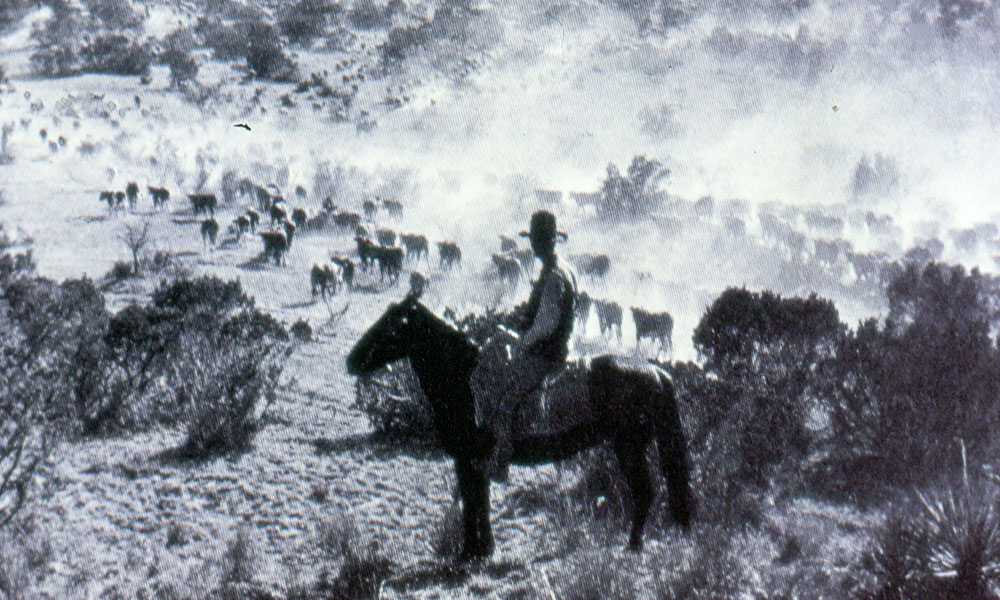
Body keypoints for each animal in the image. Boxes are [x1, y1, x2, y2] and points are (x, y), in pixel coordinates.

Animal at [348, 288, 692, 560]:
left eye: (393, 326)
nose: (351, 361)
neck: (463, 379)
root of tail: (657, 372)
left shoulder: (468, 459)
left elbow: (473, 502)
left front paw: (471, 552)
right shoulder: (472, 461)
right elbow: (479, 501)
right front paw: (482, 549)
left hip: (628, 447)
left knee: (644, 492)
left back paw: (633, 545)